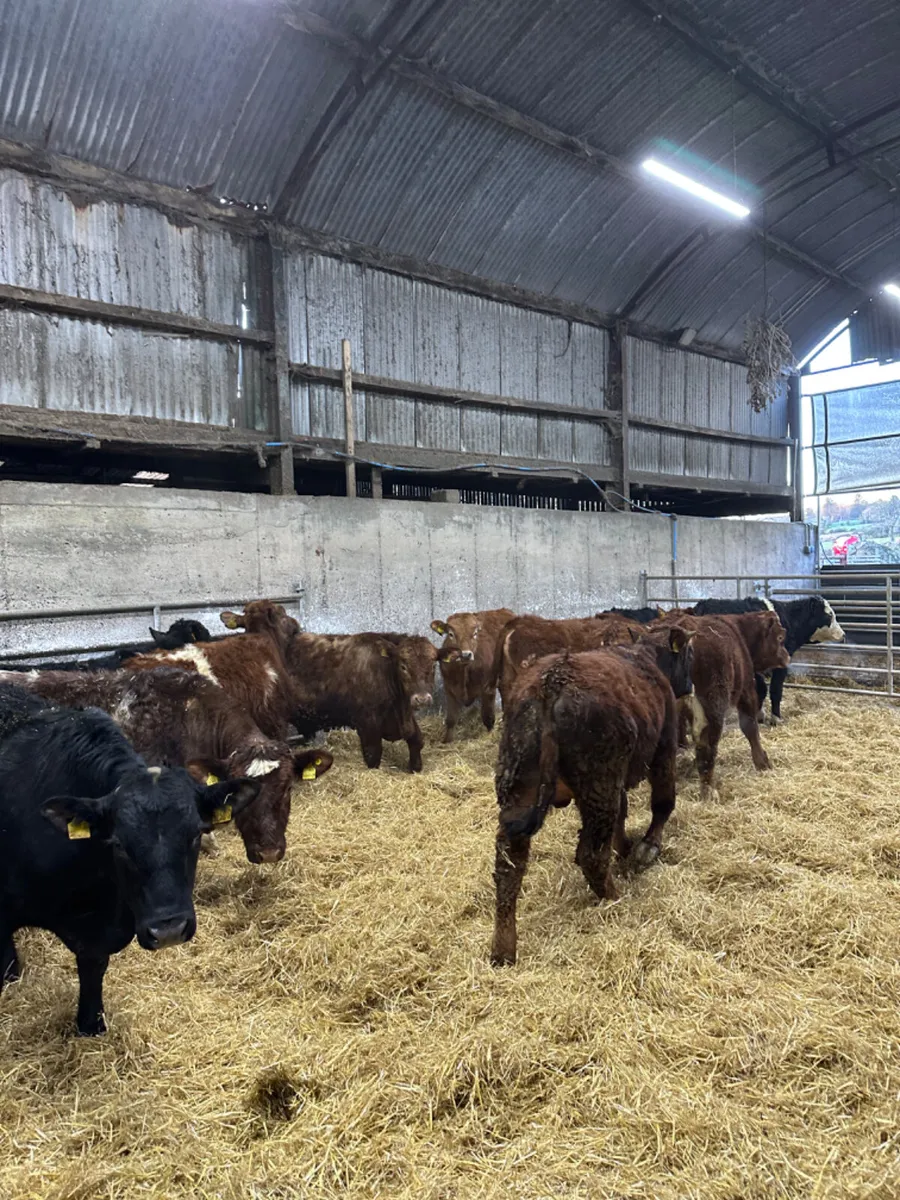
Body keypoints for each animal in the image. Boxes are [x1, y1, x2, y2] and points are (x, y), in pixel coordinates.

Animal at [430, 608, 516, 741]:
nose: (465, 655)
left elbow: (488, 717)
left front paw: (489, 737)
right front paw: (447, 741)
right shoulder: (449, 688)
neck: (464, 671)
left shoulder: (487, 689)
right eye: (451, 634)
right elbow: (451, 719)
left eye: (475, 633)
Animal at [491, 626, 695, 966]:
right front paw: (646, 847)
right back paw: (615, 899)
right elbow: (663, 803)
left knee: (509, 866)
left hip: (520, 793)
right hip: (599, 786)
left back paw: (503, 949)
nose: (690, 684)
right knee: (591, 856)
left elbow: (622, 816)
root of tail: (552, 684)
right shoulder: (663, 749)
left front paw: (623, 846)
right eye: (690, 654)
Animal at [656, 610, 790, 799]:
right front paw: (763, 763)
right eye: (780, 637)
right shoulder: (746, 689)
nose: (787, 656)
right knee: (707, 746)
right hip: (712, 706)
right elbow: (750, 727)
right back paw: (708, 792)